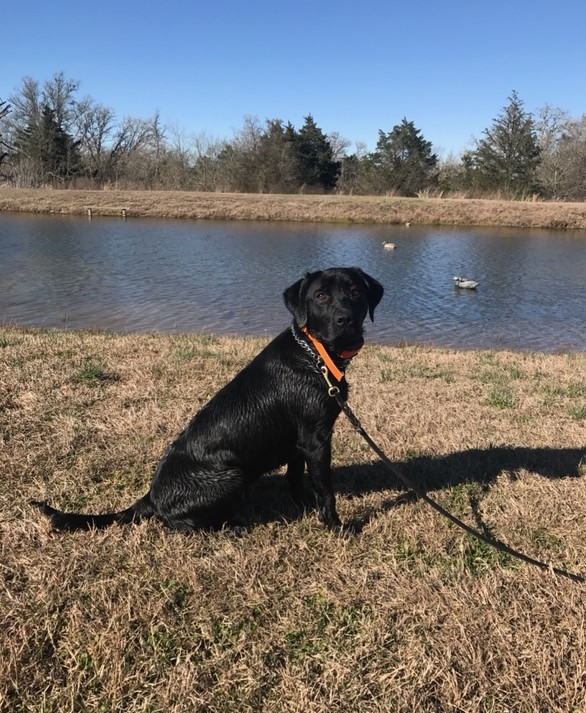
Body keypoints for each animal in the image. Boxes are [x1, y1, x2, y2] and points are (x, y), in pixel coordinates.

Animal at [32, 268, 380, 528]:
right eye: (320, 296)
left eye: (355, 292)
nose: (346, 320)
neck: (313, 354)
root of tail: (150, 496)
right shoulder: (315, 439)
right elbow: (326, 490)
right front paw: (335, 526)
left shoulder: (299, 443)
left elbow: (297, 479)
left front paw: (307, 508)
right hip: (232, 475)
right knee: (180, 523)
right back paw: (237, 525)